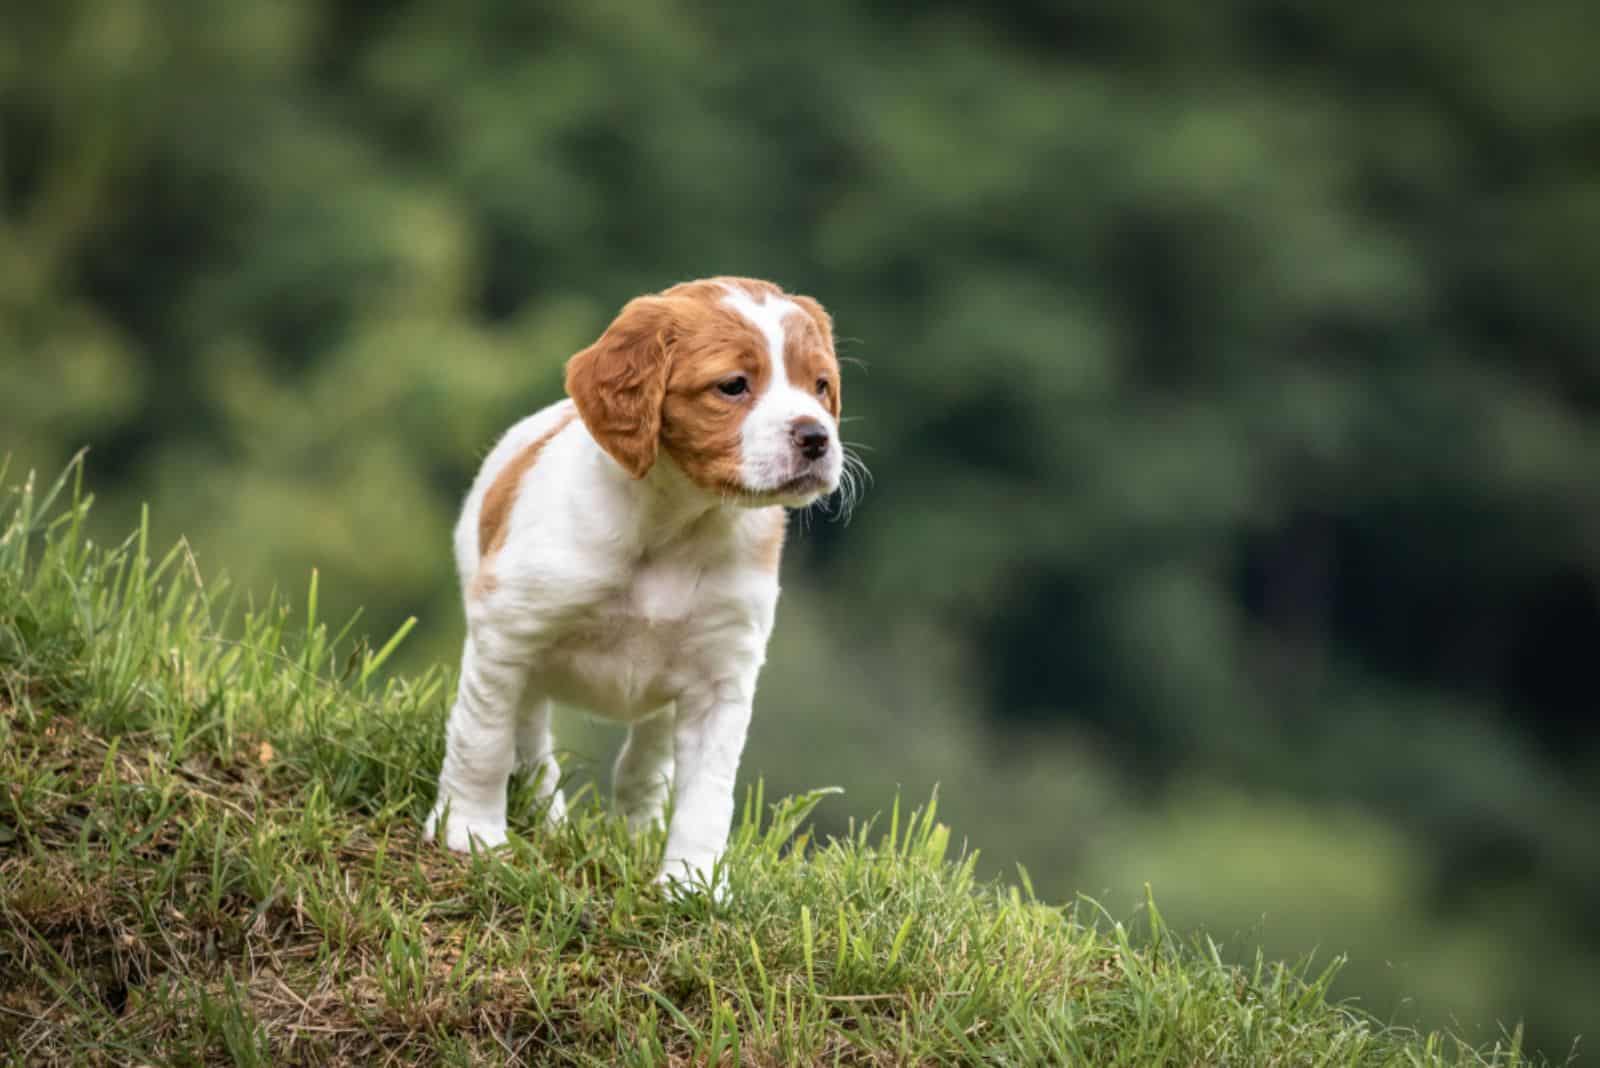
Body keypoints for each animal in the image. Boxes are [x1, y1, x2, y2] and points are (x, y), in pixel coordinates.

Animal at [425, 274, 851, 882]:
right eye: (733, 385)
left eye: (820, 385)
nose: (816, 437)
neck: (677, 522)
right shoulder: (508, 630)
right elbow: (483, 740)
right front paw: (469, 832)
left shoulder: (722, 676)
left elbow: (706, 793)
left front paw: (692, 883)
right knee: (528, 740)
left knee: (644, 761)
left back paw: (637, 829)